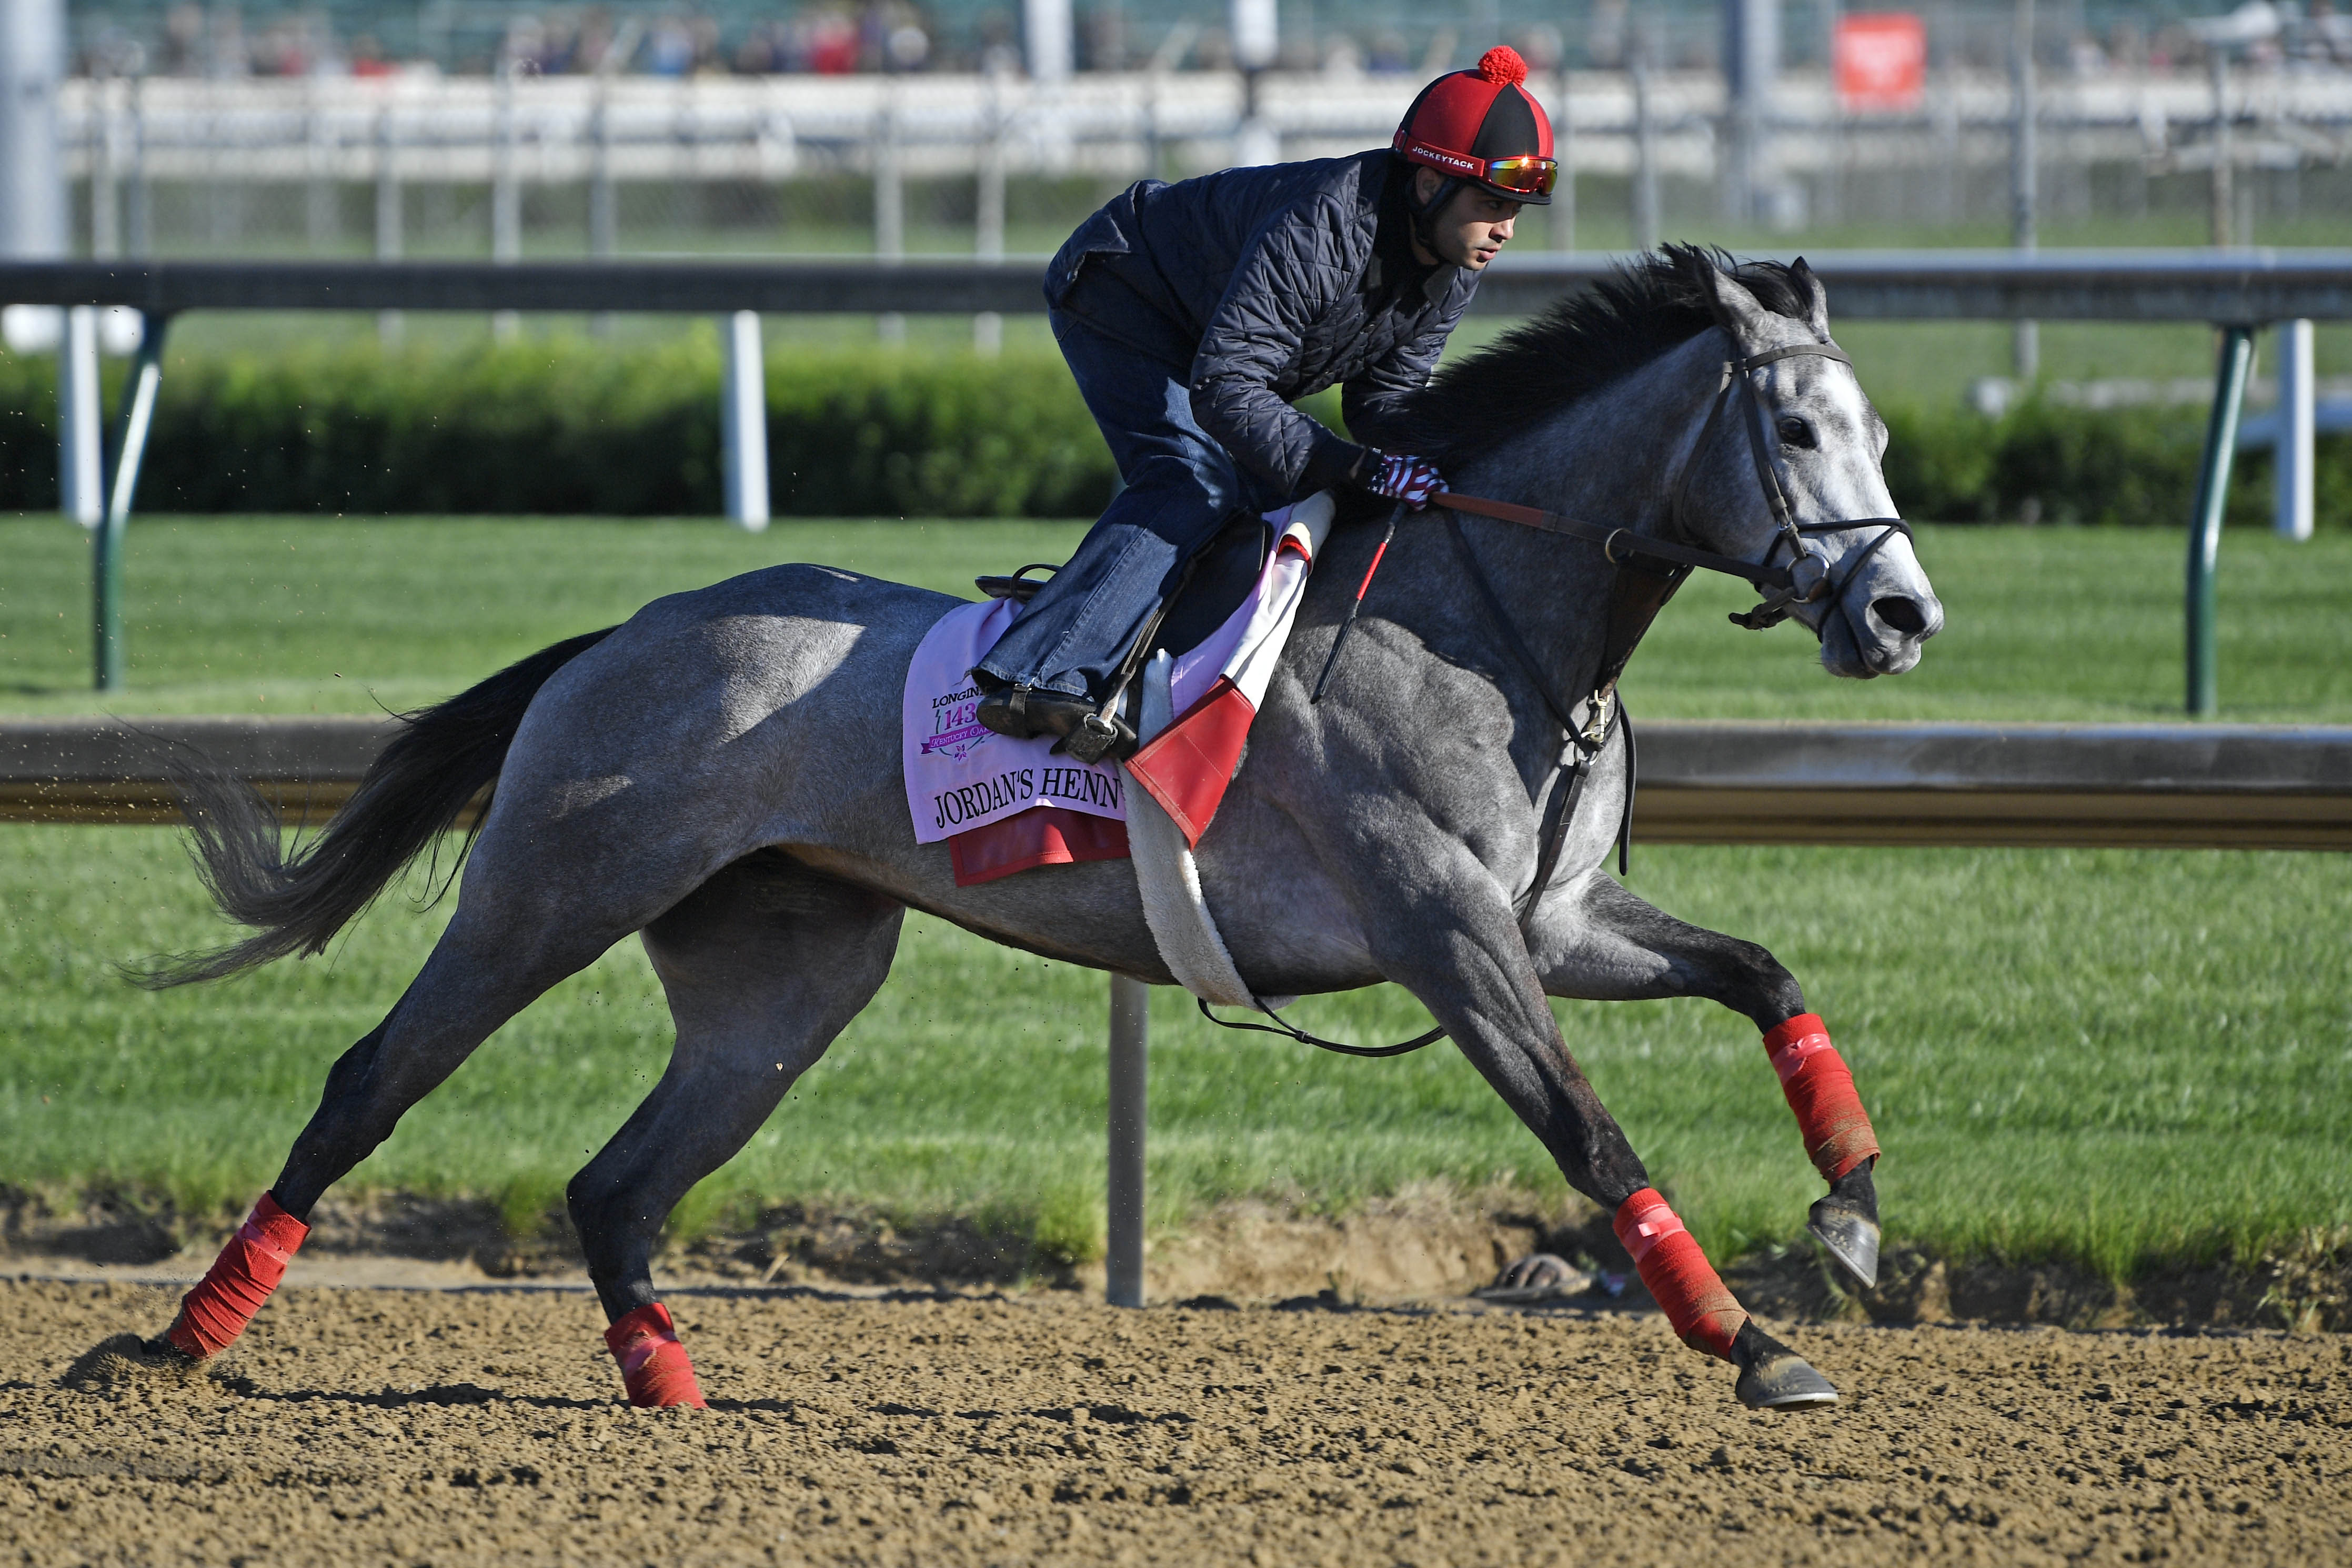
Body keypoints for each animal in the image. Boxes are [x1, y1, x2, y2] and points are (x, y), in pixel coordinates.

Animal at [152, 252, 1947, 1420]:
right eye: (1795, 434)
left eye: (1877, 434)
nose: (1901, 615)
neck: (1475, 613)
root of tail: (620, 636)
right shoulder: (1445, 932)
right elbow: (1591, 1137)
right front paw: (1750, 1344)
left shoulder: (1552, 921)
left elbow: (1765, 973)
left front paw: (1852, 1217)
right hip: (549, 894)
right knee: (368, 1087)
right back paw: (173, 1345)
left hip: (782, 983)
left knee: (616, 1181)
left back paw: (668, 1384)